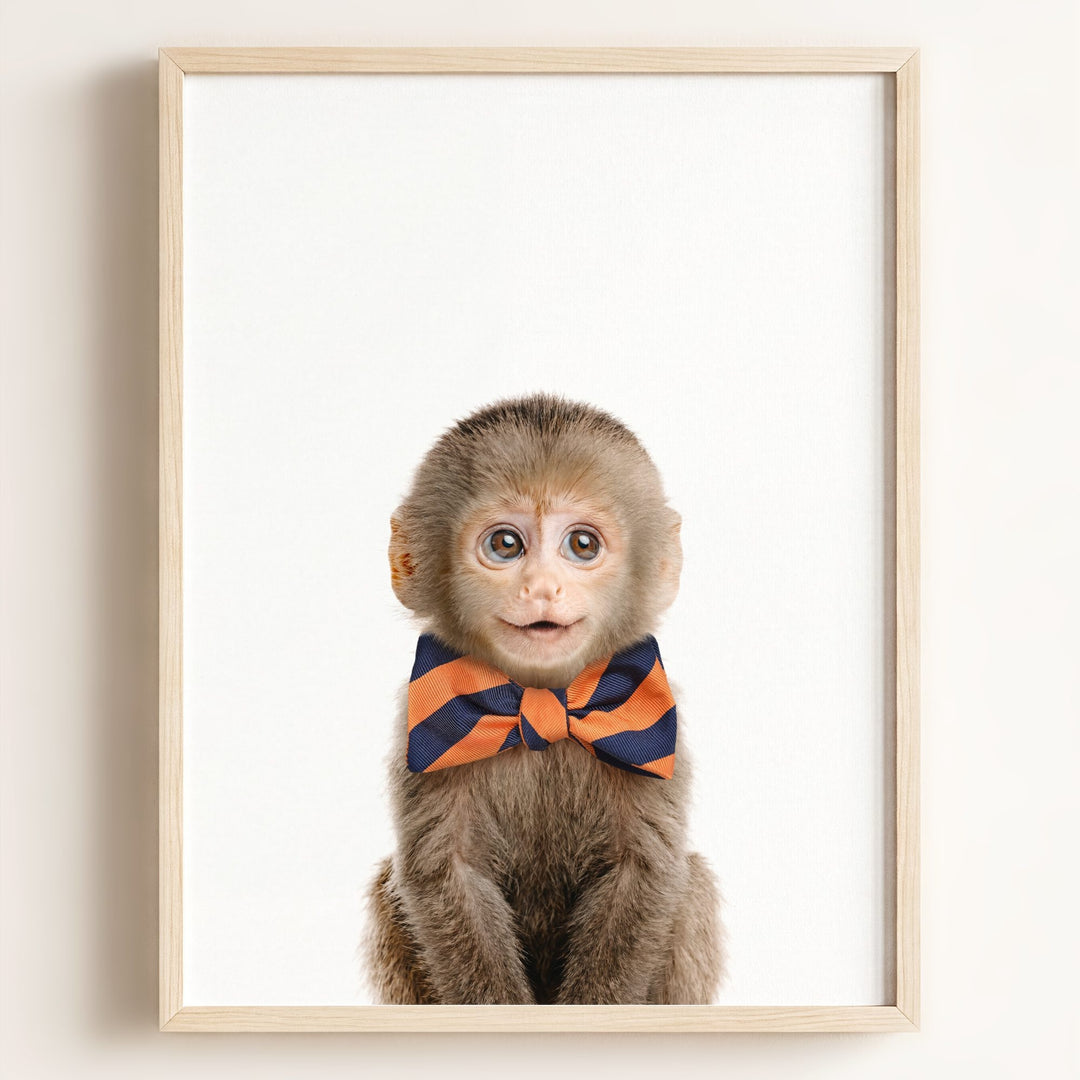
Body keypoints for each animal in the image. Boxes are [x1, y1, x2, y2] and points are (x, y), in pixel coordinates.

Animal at [364, 393, 723, 1005]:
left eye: (582, 544)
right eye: (505, 545)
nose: (541, 588)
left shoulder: (655, 721)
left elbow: (644, 871)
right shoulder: (423, 726)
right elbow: (447, 873)